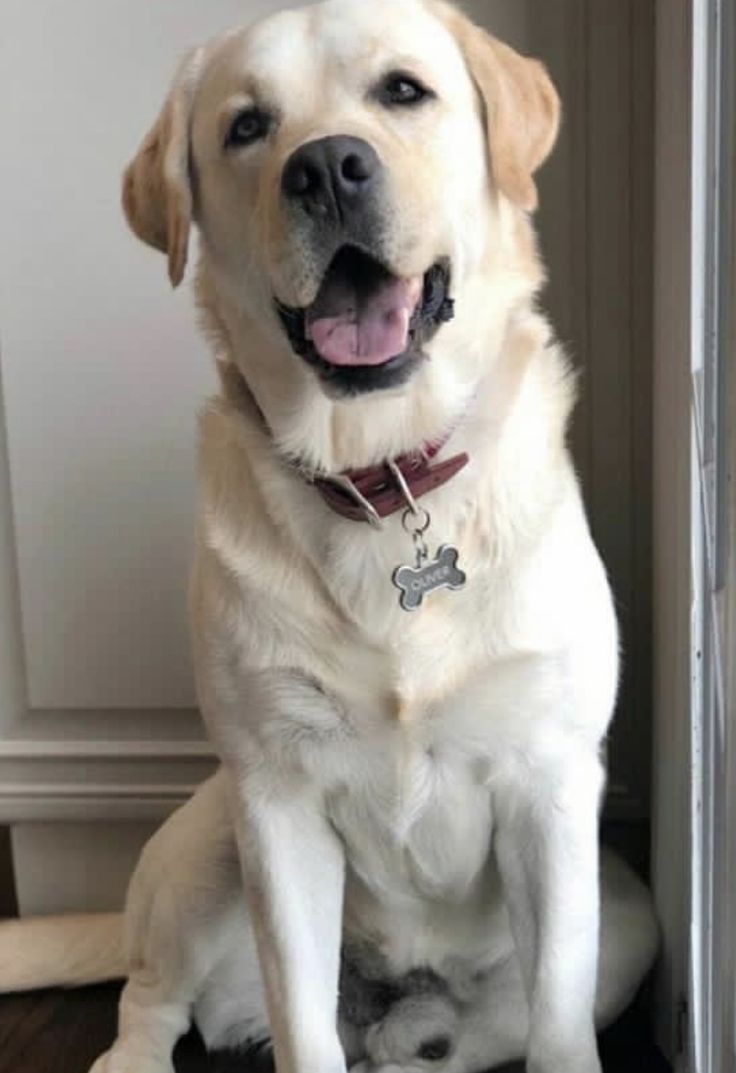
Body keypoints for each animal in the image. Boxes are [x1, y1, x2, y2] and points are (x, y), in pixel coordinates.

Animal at [0, 2, 660, 1073]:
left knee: (463, 1032)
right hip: (210, 837)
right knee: (153, 999)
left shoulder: (552, 787)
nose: (326, 167)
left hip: (630, 920)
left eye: (403, 90)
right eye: (245, 126)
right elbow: (302, 1024)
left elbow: (558, 1019)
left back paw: (415, 1034)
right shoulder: (276, 802)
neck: (383, 478)